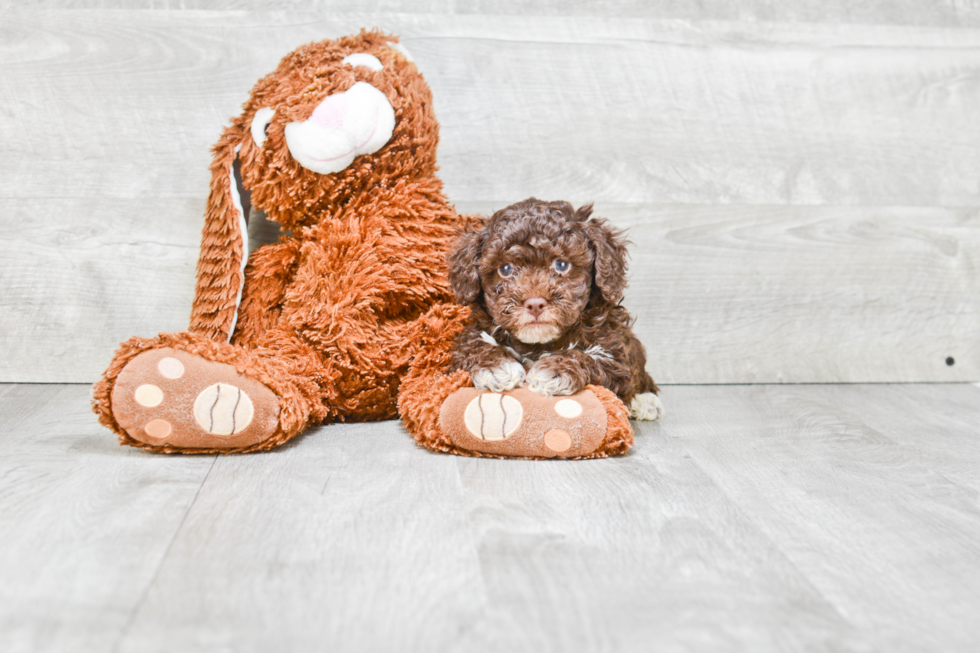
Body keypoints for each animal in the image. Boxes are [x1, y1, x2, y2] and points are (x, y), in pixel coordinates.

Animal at [448, 196, 664, 418]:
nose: (535, 303)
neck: (538, 344)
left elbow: (592, 357)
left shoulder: (616, 352)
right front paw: (497, 367)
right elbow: (473, 345)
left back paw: (645, 402)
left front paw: (555, 371)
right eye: (505, 269)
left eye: (561, 265)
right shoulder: (473, 332)